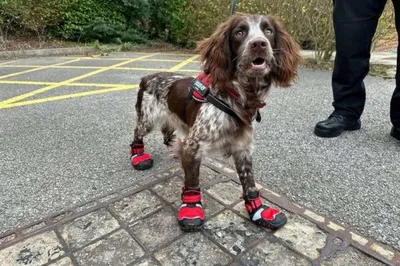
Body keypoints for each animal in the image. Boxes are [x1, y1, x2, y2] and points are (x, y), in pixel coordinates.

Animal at [130, 13, 302, 232]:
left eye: (269, 31)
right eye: (239, 32)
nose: (259, 44)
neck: (237, 97)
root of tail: (147, 76)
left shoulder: (242, 148)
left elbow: (249, 183)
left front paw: (258, 210)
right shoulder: (194, 145)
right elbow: (192, 180)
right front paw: (191, 208)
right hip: (147, 119)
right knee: (137, 134)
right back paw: (138, 156)